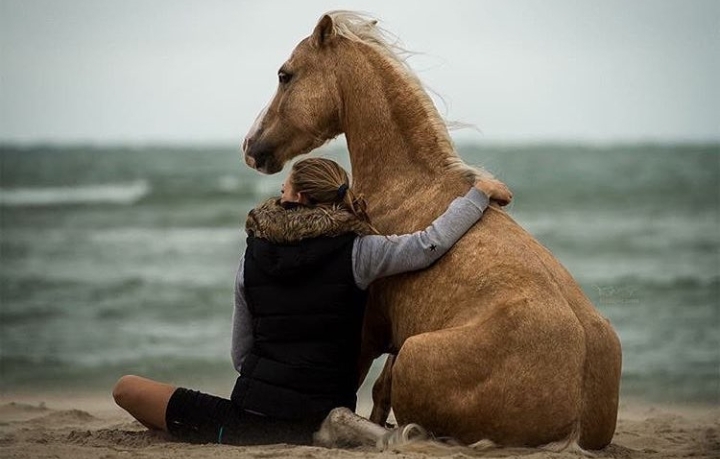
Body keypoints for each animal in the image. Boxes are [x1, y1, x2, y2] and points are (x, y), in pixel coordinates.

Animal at [242, 11, 622, 450]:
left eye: (285, 75)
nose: (250, 146)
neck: (409, 187)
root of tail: (573, 423)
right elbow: (379, 393)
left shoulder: (366, 330)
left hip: (413, 353)